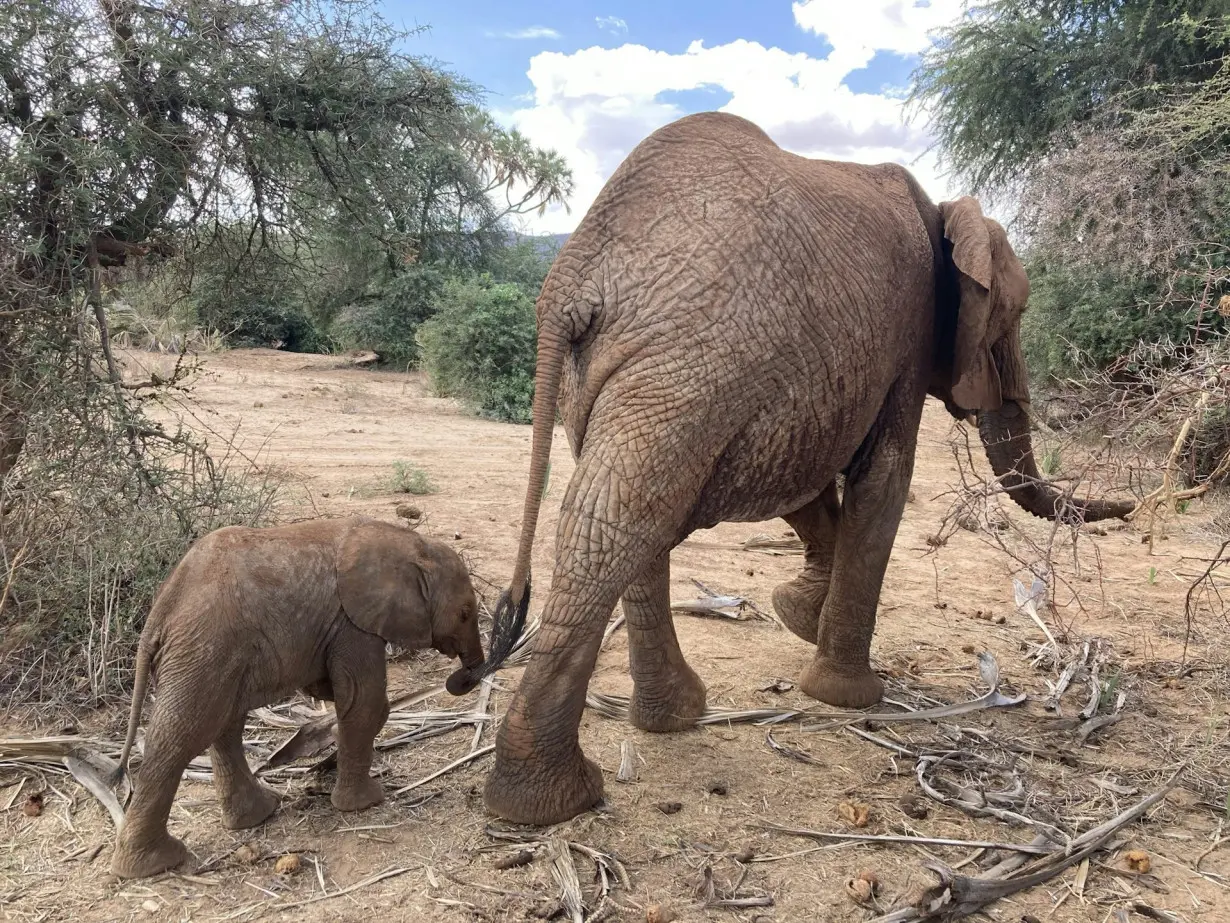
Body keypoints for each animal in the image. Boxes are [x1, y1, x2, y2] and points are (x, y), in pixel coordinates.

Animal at [108, 516, 484, 886]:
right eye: (466, 613)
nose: (461, 679)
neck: (409, 542)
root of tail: (160, 612)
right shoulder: (353, 623)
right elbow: (365, 703)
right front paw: (366, 804)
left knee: (224, 726)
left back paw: (256, 816)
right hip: (204, 649)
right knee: (181, 737)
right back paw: (156, 864)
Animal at [482, 111, 1131, 827]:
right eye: (1012, 316)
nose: (1128, 508)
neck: (943, 214)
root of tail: (572, 282)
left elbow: (810, 481)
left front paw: (796, 616)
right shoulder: (905, 335)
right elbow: (883, 478)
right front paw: (848, 696)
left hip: (625, 371)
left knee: (628, 515)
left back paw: (667, 722)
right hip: (693, 359)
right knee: (621, 520)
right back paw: (553, 801)